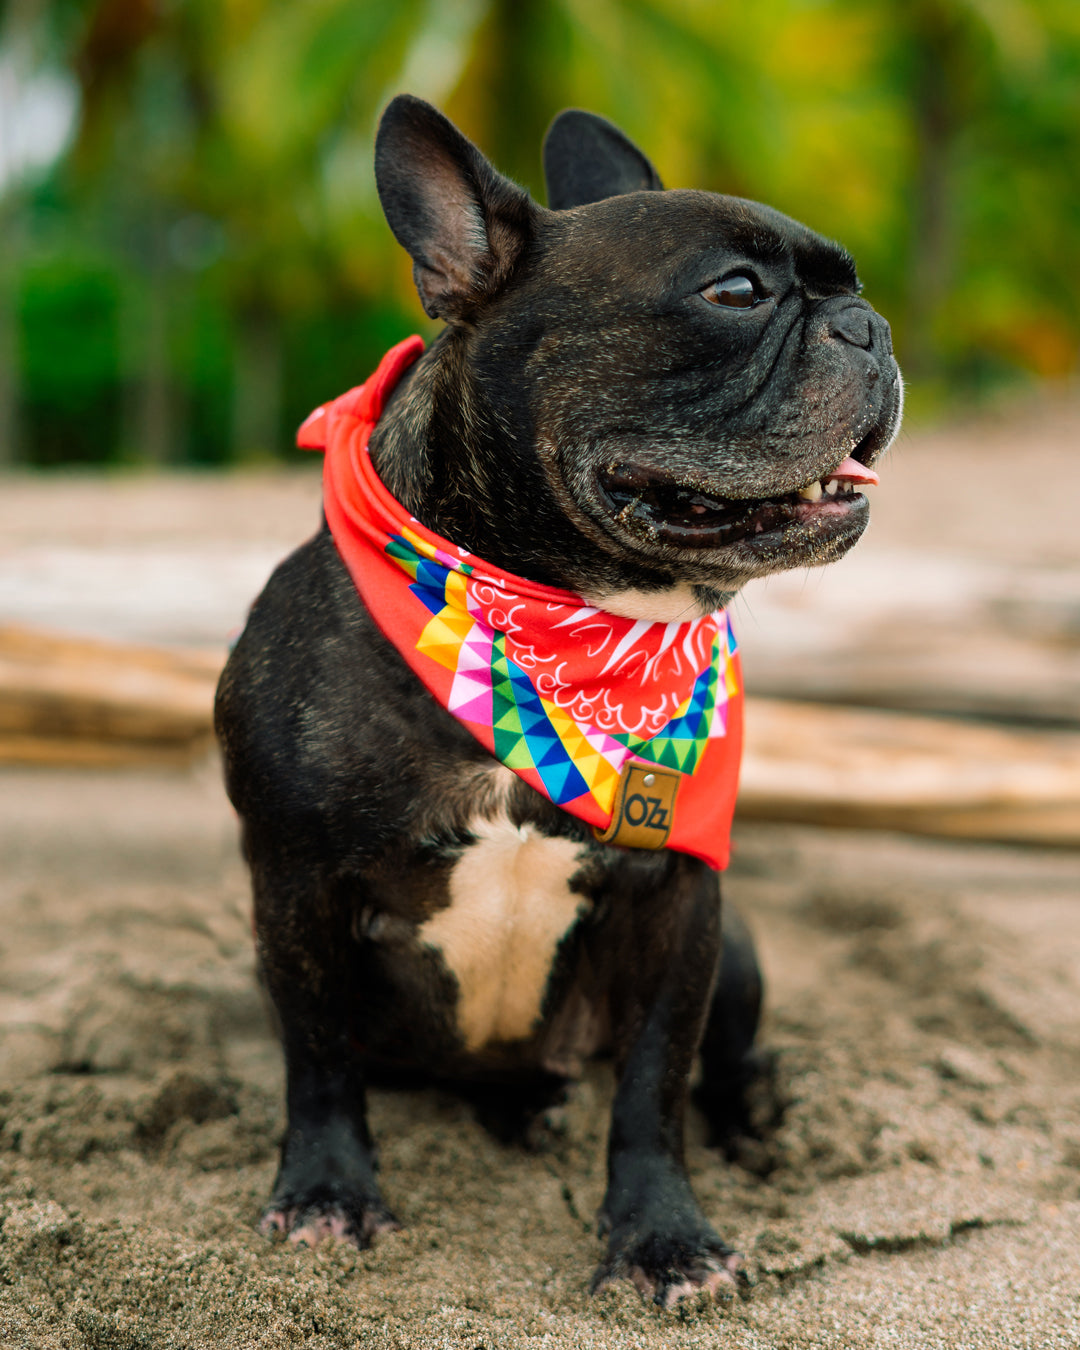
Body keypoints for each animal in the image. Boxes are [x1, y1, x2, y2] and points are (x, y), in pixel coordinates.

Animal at [213, 95, 901, 1306]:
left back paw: (757, 1120)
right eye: (737, 292)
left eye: (852, 289)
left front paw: (663, 1236)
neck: (559, 630)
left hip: (739, 945)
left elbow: (654, 1087)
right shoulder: (293, 891)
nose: (871, 328)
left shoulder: (682, 905)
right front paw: (329, 1193)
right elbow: (320, 1059)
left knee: (722, 1061)